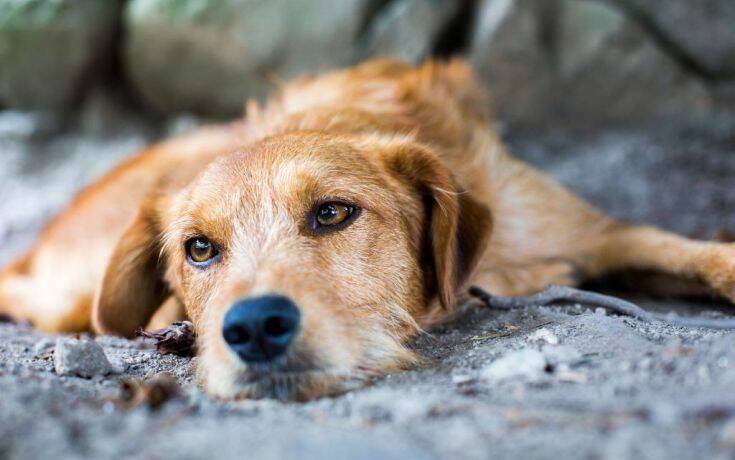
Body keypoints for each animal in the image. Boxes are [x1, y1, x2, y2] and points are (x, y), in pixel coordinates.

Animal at [1, 60, 735, 398]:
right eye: (199, 249)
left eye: (332, 212)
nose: (254, 328)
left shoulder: (596, 232)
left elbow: (691, 252)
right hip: (74, 297)